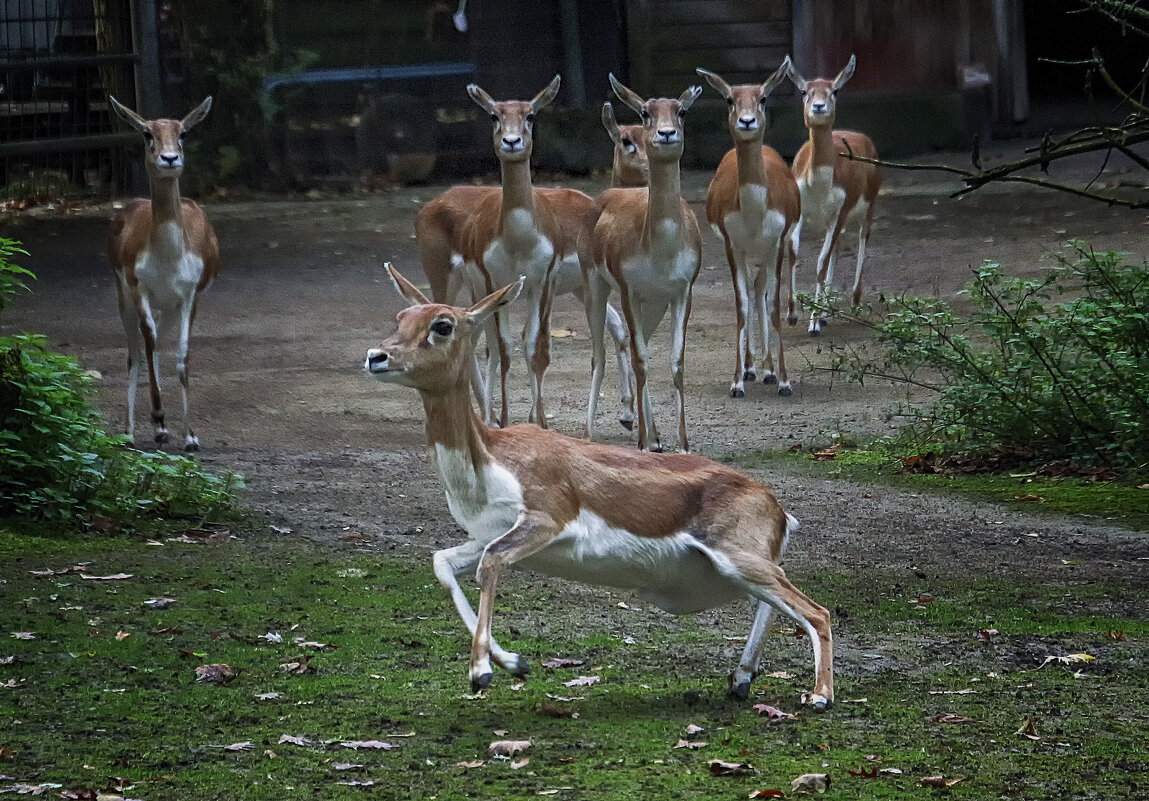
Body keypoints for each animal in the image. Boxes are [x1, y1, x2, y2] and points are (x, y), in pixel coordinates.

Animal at [106, 97, 218, 450]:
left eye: (183, 132)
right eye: (147, 133)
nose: (170, 158)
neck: (169, 255)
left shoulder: (190, 296)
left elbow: (181, 356)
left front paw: (191, 436)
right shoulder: (138, 288)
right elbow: (148, 343)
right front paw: (156, 419)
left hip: (169, 305)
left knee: (155, 344)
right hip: (124, 297)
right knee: (137, 350)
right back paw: (133, 430)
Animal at [365, 265, 836, 707]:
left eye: (442, 325)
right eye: (402, 317)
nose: (376, 356)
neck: (489, 460)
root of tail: (777, 508)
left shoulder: (546, 519)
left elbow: (491, 564)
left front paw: (481, 672)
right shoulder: (484, 534)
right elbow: (443, 562)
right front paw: (514, 662)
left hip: (737, 557)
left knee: (818, 612)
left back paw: (819, 695)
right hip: (735, 569)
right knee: (773, 603)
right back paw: (741, 679)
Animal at [588, 75, 703, 452]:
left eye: (681, 111)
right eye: (645, 112)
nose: (666, 134)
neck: (661, 248)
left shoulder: (681, 292)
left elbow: (675, 361)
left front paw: (681, 443)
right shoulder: (629, 292)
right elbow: (640, 361)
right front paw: (642, 441)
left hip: (653, 305)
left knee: (643, 348)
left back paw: (653, 434)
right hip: (596, 287)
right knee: (600, 353)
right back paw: (593, 433)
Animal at [693, 60, 804, 397]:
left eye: (763, 97)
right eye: (730, 99)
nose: (746, 121)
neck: (754, 211)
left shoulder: (776, 244)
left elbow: (775, 304)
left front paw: (784, 381)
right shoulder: (733, 246)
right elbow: (741, 306)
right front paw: (737, 382)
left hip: (766, 253)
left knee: (761, 292)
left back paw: (767, 370)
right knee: (753, 292)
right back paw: (752, 368)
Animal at [785, 54, 882, 333]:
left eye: (834, 90)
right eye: (804, 91)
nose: (818, 107)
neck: (818, 184)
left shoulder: (840, 213)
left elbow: (820, 262)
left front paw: (813, 324)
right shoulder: (800, 213)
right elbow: (794, 253)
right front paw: (793, 315)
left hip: (865, 210)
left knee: (862, 240)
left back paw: (854, 302)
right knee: (837, 249)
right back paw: (828, 312)